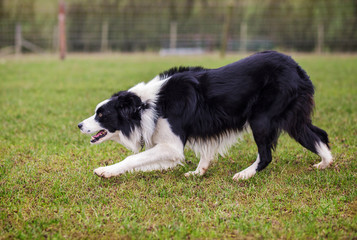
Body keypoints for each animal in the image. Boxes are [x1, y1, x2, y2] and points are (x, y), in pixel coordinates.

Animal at [78, 52, 330, 180]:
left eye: (101, 114)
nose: (79, 125)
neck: (144, 106)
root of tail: (296, 67)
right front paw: (199, 171)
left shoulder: (172, 144)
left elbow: (134, 159)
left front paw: (106, 171)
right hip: (292, 117)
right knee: (319, 134)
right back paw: (325, 163)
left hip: (261, 118)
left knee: (266, 154)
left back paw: (244, 175)